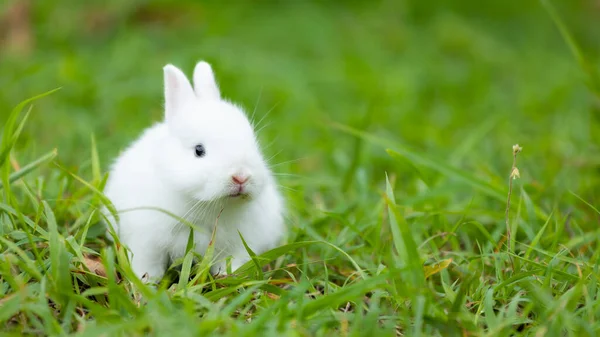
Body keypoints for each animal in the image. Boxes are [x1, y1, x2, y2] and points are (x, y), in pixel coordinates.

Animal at [101, 60, 286, 280]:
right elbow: (147, 263)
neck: (209, 207)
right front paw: (146, 282)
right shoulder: (146, 240)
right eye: (199, 150)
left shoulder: (239, 244)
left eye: (254, 145)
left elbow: (233, 262)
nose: (241, 177)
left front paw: (229, 276)